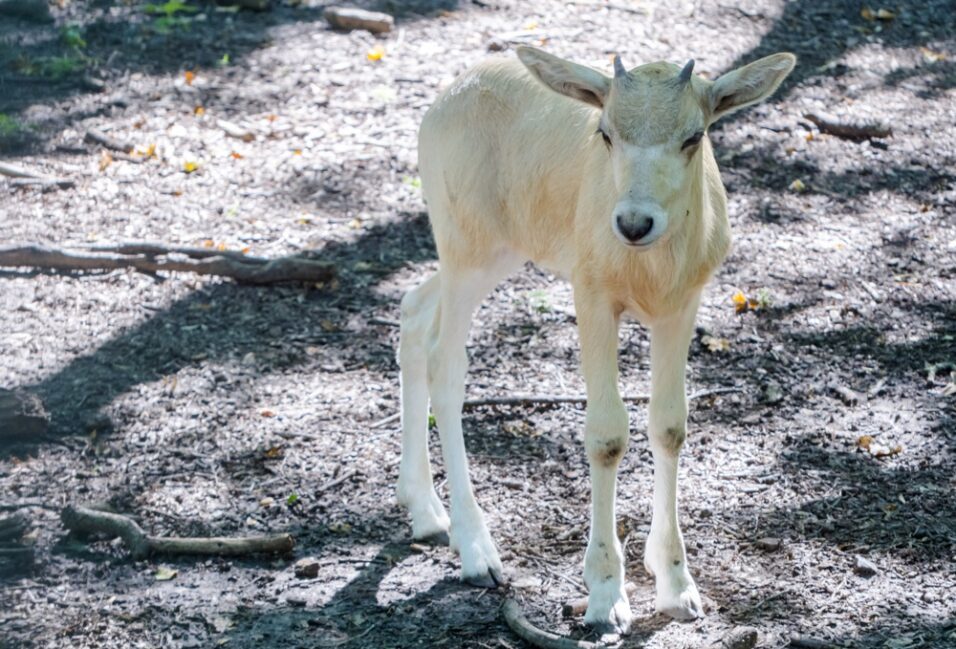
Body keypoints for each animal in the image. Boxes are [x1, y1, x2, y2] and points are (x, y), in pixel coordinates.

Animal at [394, 46, 792, 632]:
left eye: (694, 135)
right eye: (605, 132)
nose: (633, 223)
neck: (646, 271)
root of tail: (444, 101)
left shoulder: (682, 304)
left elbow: (669, 425)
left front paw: (678, 587)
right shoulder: (592, 295)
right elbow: (606, 434)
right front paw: (606, 597)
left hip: (502, 251)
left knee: (414, 313)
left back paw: (424, 512)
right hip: (465, 246)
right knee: (446, 361)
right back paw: (477, 551)